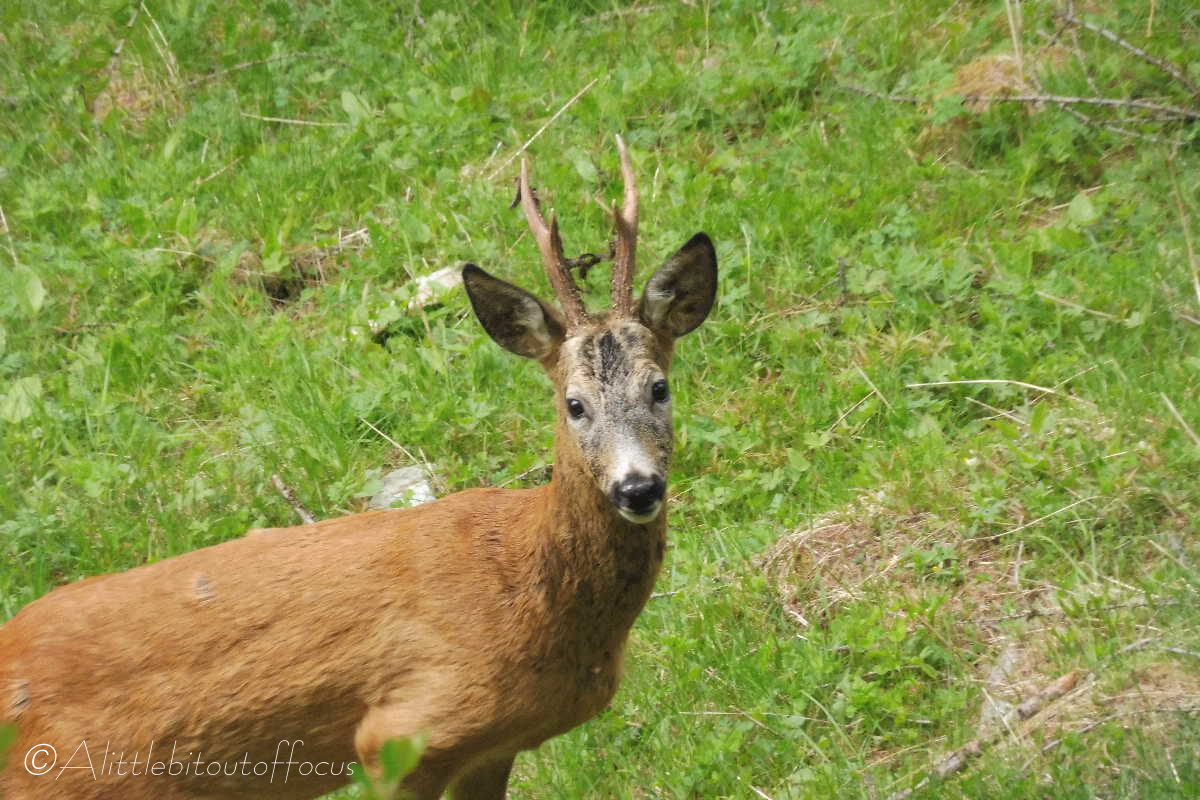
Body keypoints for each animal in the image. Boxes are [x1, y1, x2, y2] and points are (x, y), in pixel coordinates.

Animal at [0, 135, 717, 800]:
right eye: (574, 405)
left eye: (659, 388)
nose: (637, 487)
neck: (526, 585)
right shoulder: (403, 734)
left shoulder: (495, 746)